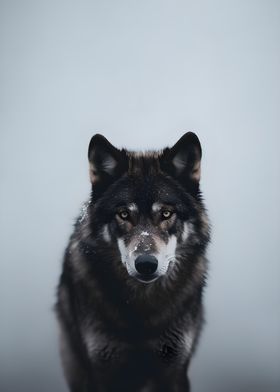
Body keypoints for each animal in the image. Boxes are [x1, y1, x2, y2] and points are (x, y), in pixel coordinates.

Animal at [55, 132, 210, 392]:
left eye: (166, 214)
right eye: (124, 214)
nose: (146, 264)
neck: (142, 305)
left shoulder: (174, 368)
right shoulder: (102, 369)